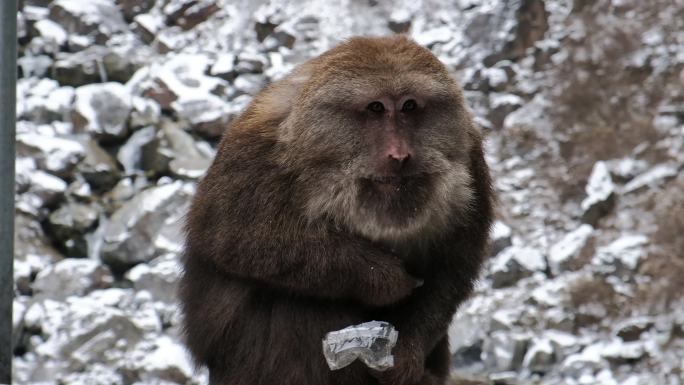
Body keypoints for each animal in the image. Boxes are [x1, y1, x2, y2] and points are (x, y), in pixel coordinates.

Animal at [179, 36, 494, 384]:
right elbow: (230, 238)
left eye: (409, 106)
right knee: (296, 303)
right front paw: (384, 278)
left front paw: (404, 354)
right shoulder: (252, 151)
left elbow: (452, 266)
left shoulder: (471, 158)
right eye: (376, 108)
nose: (399, 155)